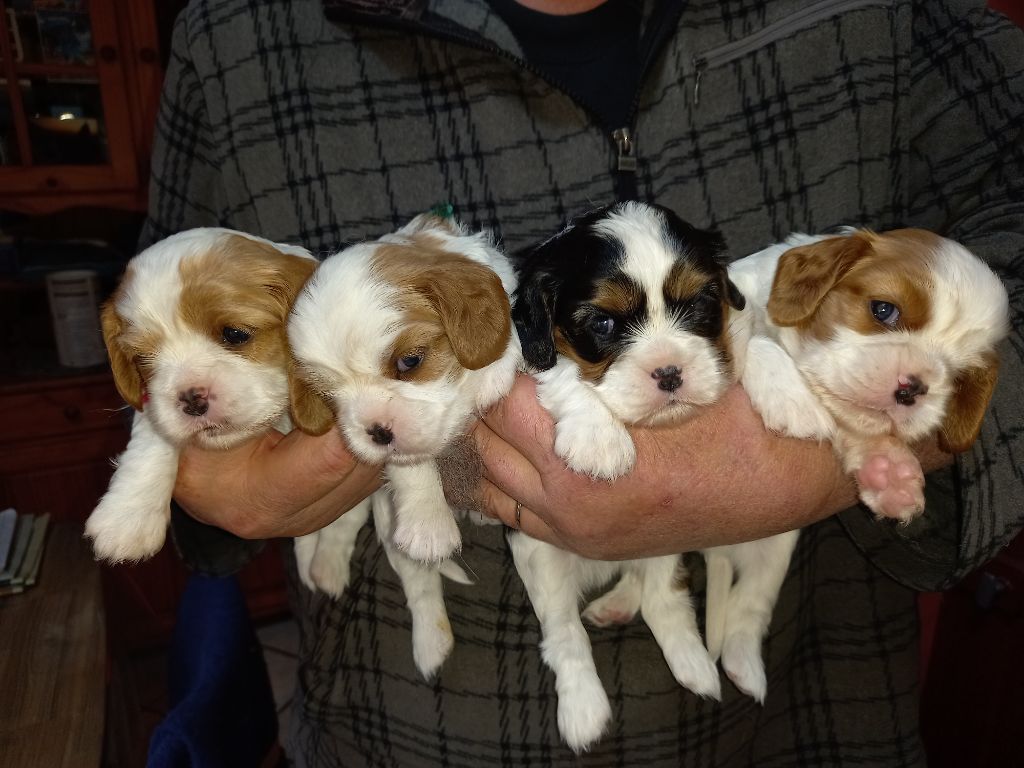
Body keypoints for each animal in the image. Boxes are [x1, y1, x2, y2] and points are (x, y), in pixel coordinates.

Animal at [83, 225, 315, 561]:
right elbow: (153, 427)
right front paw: (128, 515)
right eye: (143, 359)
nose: (192, 398)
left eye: (235, 334)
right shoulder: (152, 404)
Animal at [286, 214, 520, 675]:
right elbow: (412, 465)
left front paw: (497, 370)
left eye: (409, 361)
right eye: (328, 396)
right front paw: (429, 523)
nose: (377, 431)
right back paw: (430, 643)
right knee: (419, 582)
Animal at [509, 201, 745, 753]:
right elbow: (561, 370)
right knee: (563, 629)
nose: (670, 372)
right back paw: (584, 710)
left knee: (659, 591)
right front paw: (599, 440)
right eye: (602, 322)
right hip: (539, 555)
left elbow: (666, 593)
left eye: (702, 302)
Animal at [704, 227, 1007, 704]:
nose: (912, 388)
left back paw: (744, 664)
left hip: (777, 548)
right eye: (883, 310)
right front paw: (790, 398)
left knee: (751, 603)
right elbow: (750, 338)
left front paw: (889, 471)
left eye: (959, 377)